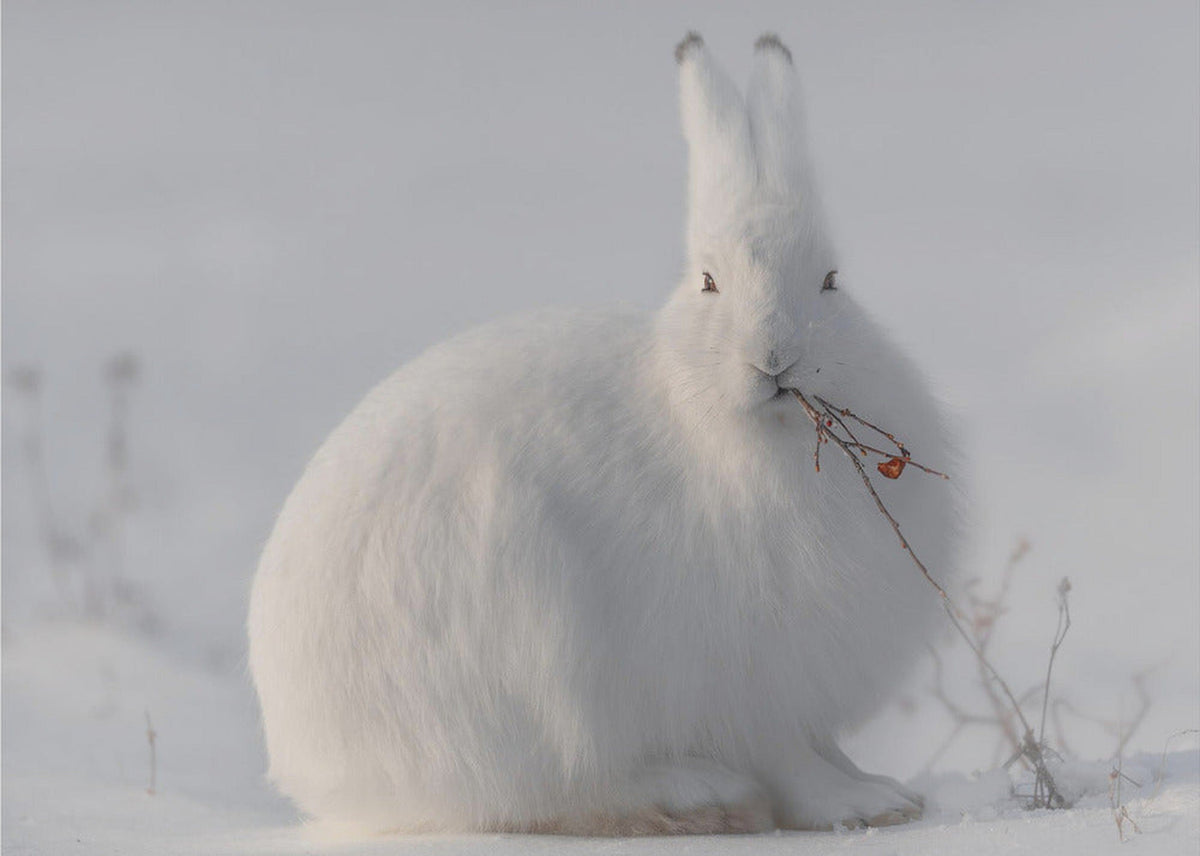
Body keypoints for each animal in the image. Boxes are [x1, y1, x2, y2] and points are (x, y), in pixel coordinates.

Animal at [248, 32, 960, 837]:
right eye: (709, 282)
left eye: (832, 281)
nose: (775, 358)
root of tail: (311, 766)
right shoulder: (746, 681)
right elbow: (790, 762)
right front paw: (857, 807)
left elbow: (824, 747)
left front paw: (886, 792)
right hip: (527, 652)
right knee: (554, 790)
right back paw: (699, 792)